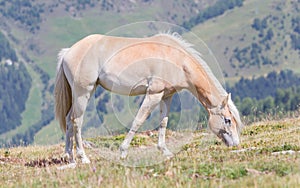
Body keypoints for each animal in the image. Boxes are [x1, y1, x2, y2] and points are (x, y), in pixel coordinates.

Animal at [54, 32, 243, 164]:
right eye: (227, 120)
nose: (236, 144)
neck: (176, 59)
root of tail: (68, 52)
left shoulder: (167, 96)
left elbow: (163, 122)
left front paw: (164, 151)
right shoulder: (153, 94)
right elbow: (139, 120)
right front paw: (123, 152)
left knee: (69, 120)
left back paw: (70, 157)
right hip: (83, 93)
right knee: (77, 122)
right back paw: (83, 158)